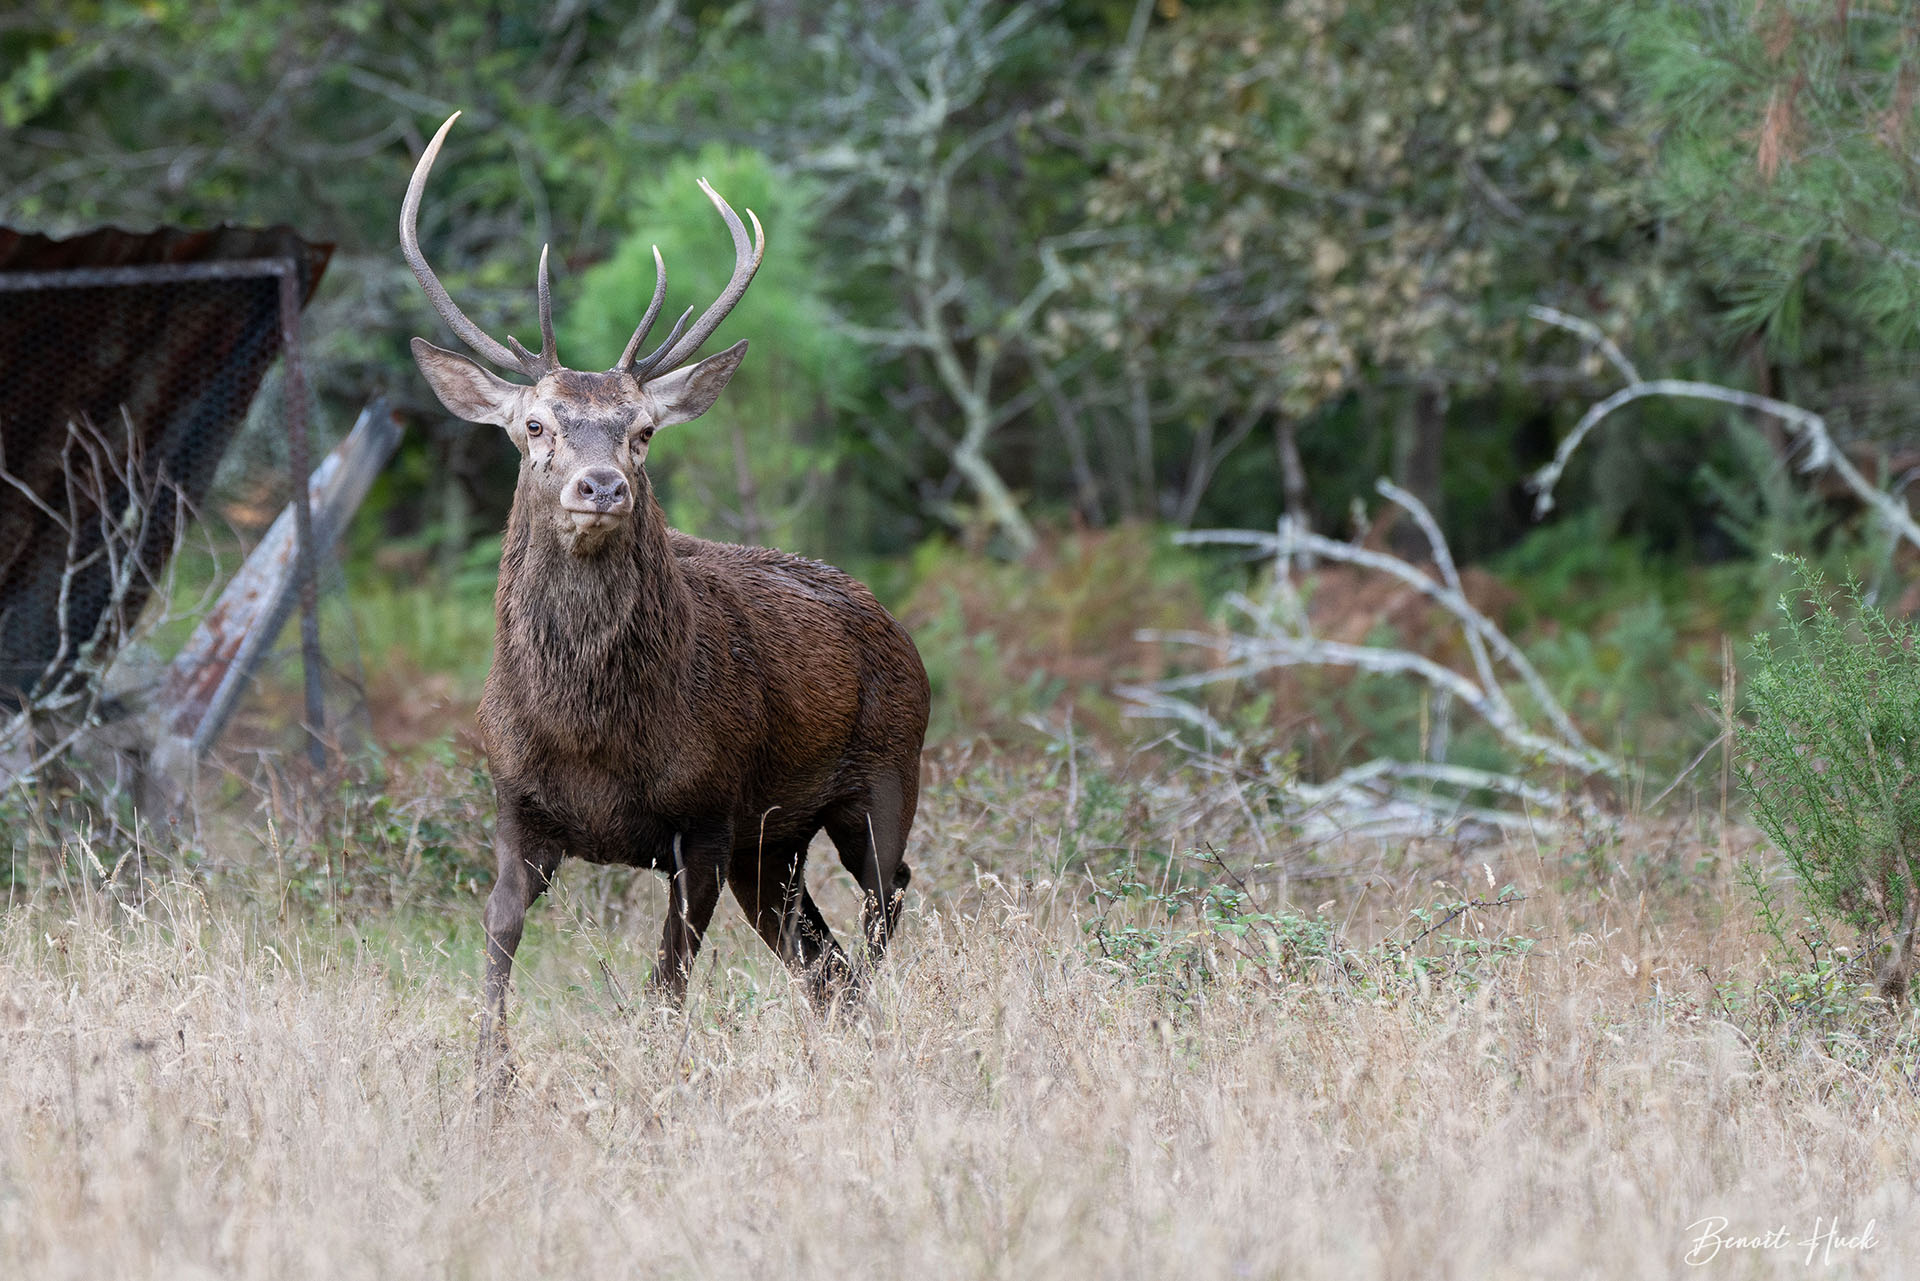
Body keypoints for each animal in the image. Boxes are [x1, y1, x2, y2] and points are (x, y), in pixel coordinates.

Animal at [399, 113, 930, 1071]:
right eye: (534, 425)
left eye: (643, 430)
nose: (602, 485)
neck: (590, 734)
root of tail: (894, 626)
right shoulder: (514, 806)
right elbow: (495, 943)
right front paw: (489, 1076)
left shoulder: (706, 817)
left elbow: (666, 986)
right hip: (775, 843)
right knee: (822, 958)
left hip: (884, 773)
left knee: (884, 900)